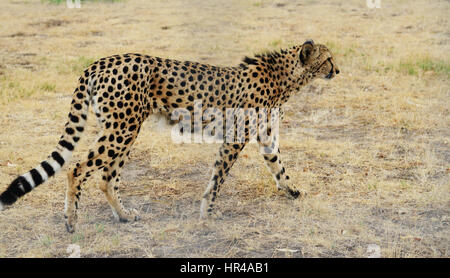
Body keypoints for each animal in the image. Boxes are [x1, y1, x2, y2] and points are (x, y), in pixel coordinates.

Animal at [0, 39, 338, 232]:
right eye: (328, 59)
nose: (337, 71)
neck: (285, 77)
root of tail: (100, 61)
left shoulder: (265, 135)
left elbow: (278, 166)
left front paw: (293, 191)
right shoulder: (234, 137)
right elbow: (218, 178)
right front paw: (207, 213)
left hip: (126, 129)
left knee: (107, 177)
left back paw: (124, 216)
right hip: (122, 129)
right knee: (77, 168)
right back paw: (71, 221)